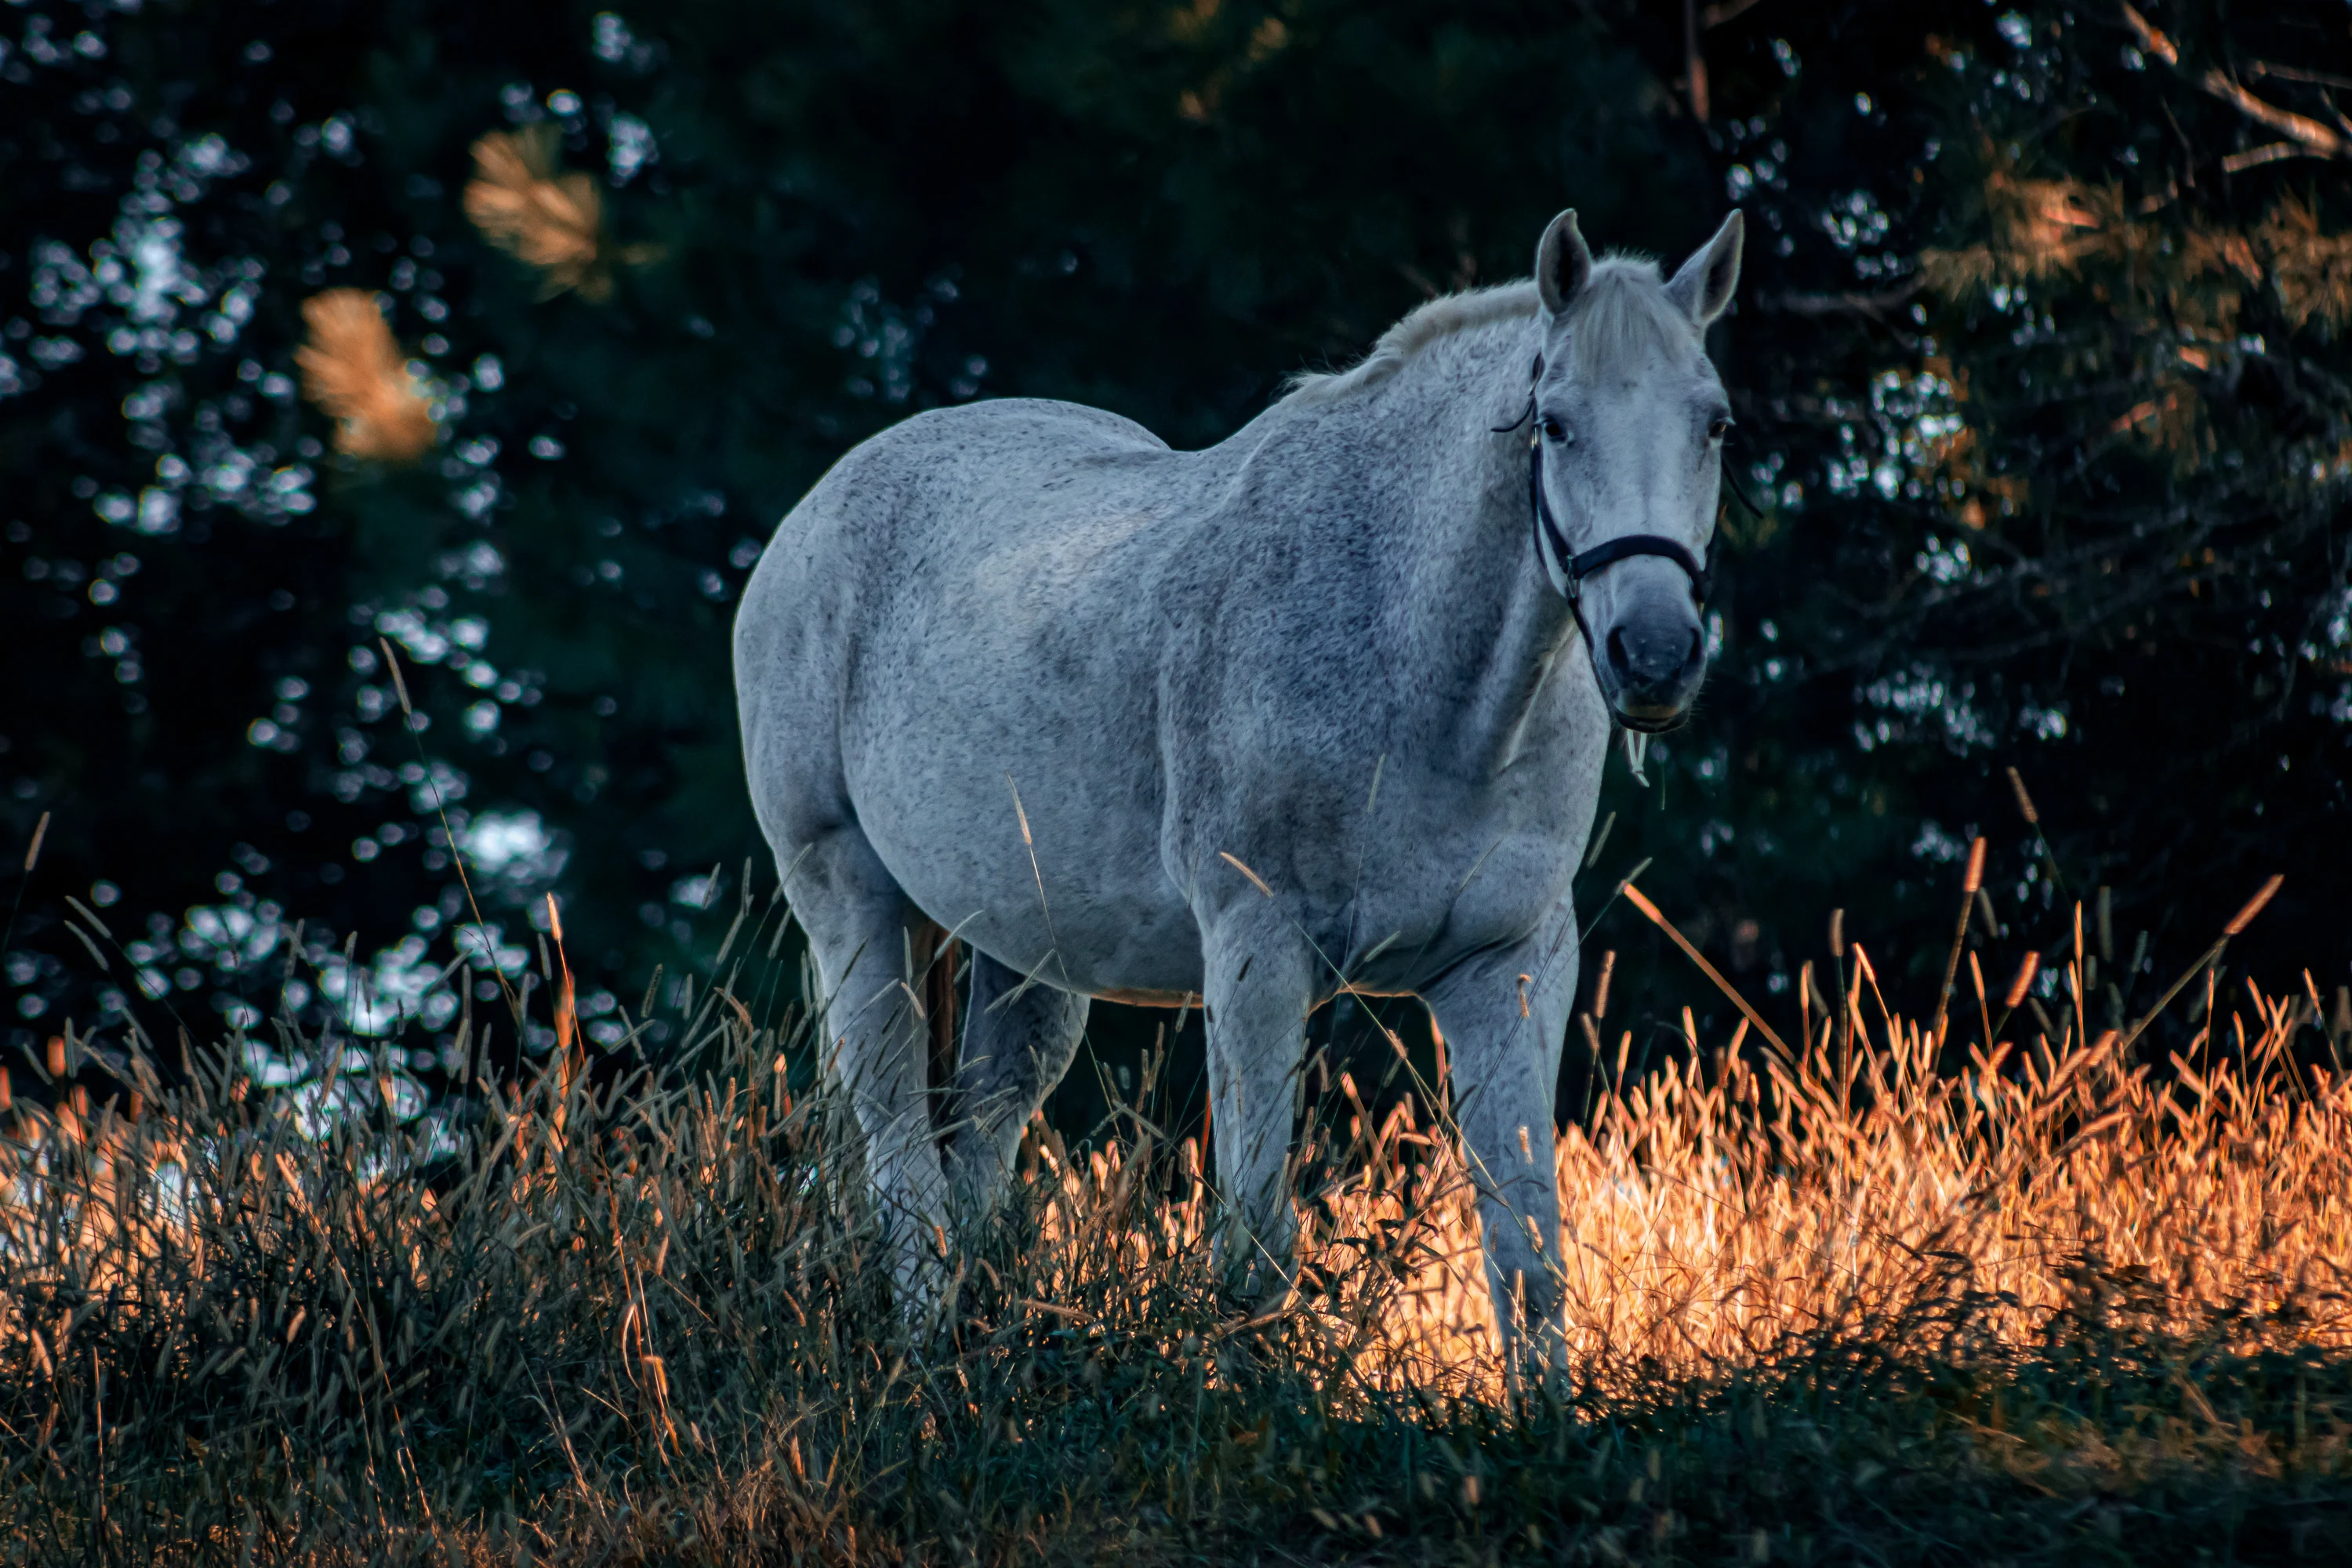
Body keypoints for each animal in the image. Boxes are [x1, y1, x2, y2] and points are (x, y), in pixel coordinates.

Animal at [733, 208, 1744, 1368]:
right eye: (1558, 423)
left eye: (1715, 423)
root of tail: (818, 511)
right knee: (900, 1146)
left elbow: (1528, 1258)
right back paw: (925, 1361)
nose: (1655, 654)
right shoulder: (1259, 953)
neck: (1416, 669)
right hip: (852, 901)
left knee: (981, 1128)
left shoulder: (1509, 966)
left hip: (1024, 953)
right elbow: (1255, 1258)